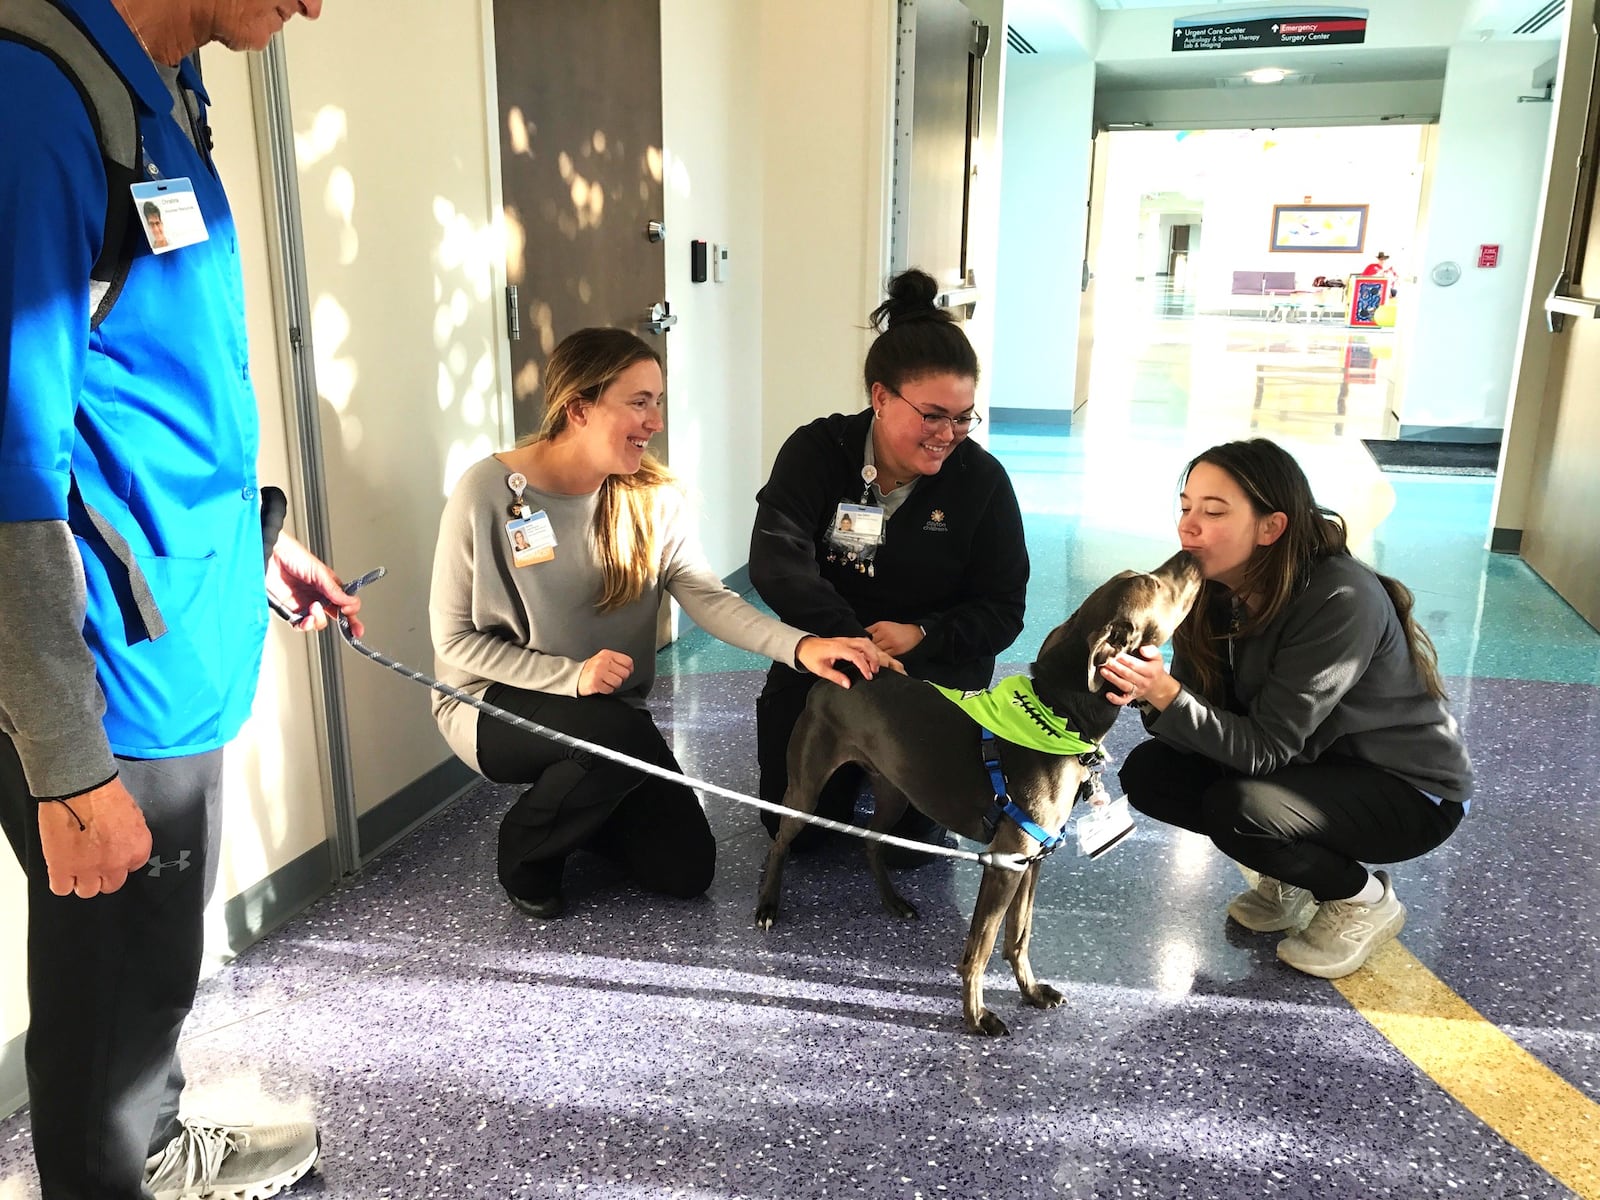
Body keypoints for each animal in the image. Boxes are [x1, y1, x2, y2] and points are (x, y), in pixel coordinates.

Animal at [758, 553, 1203, 1036]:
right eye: (1153, 583)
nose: (1193, 556)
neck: (1058, 716)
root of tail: (838, 676)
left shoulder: (1031, 860)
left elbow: (1018, 936)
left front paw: (1031, 991)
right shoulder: (1004, 862)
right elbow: (982, 946)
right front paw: (976, 1015)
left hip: (896, 790)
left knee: (872, 842)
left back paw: (893, 901)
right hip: (805, 788)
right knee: (781, 842)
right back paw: (767, 905)